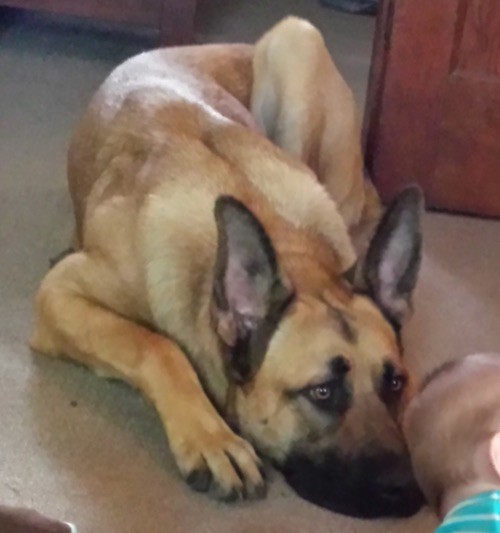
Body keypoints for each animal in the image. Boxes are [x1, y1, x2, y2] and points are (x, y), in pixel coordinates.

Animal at [30, 16, 422, 516]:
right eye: (322, 392)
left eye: (395, 383)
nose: (407, 492)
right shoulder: (59, 293)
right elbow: (157, 346)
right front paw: (211, 438)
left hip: (298, 43)